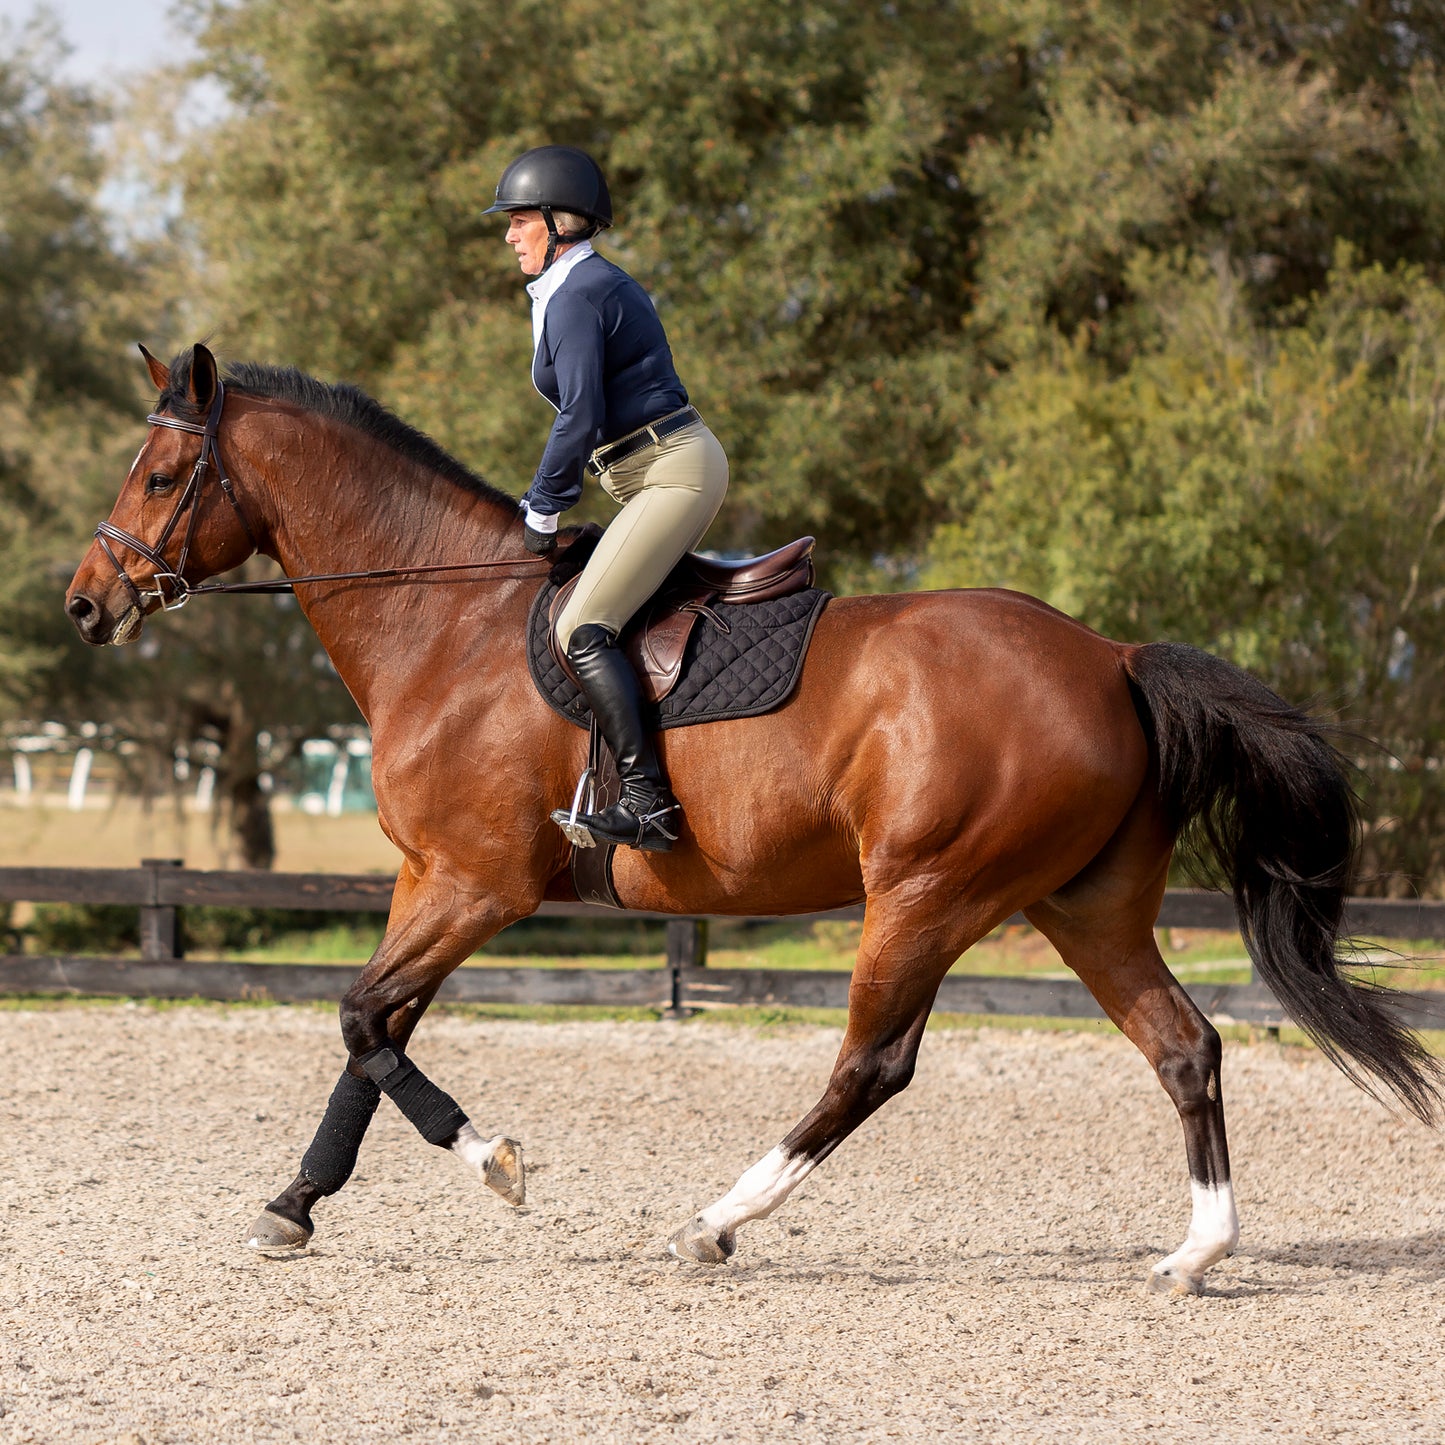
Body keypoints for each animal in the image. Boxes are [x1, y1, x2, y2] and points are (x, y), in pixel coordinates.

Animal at [62, 346, 1439, 1300]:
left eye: (164, 474)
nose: (83, 606)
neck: (443, 619)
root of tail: (1108, 655)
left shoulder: (478, 884)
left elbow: (363, 1020)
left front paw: (494, 1159)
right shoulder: (424, 880)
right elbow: (367, 1029)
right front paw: (294, 1202)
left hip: (926, 893)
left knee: (872, 1065)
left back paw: (715, 1221)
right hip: (1082, 904)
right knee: (1183, 1045)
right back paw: (1194, 1251)